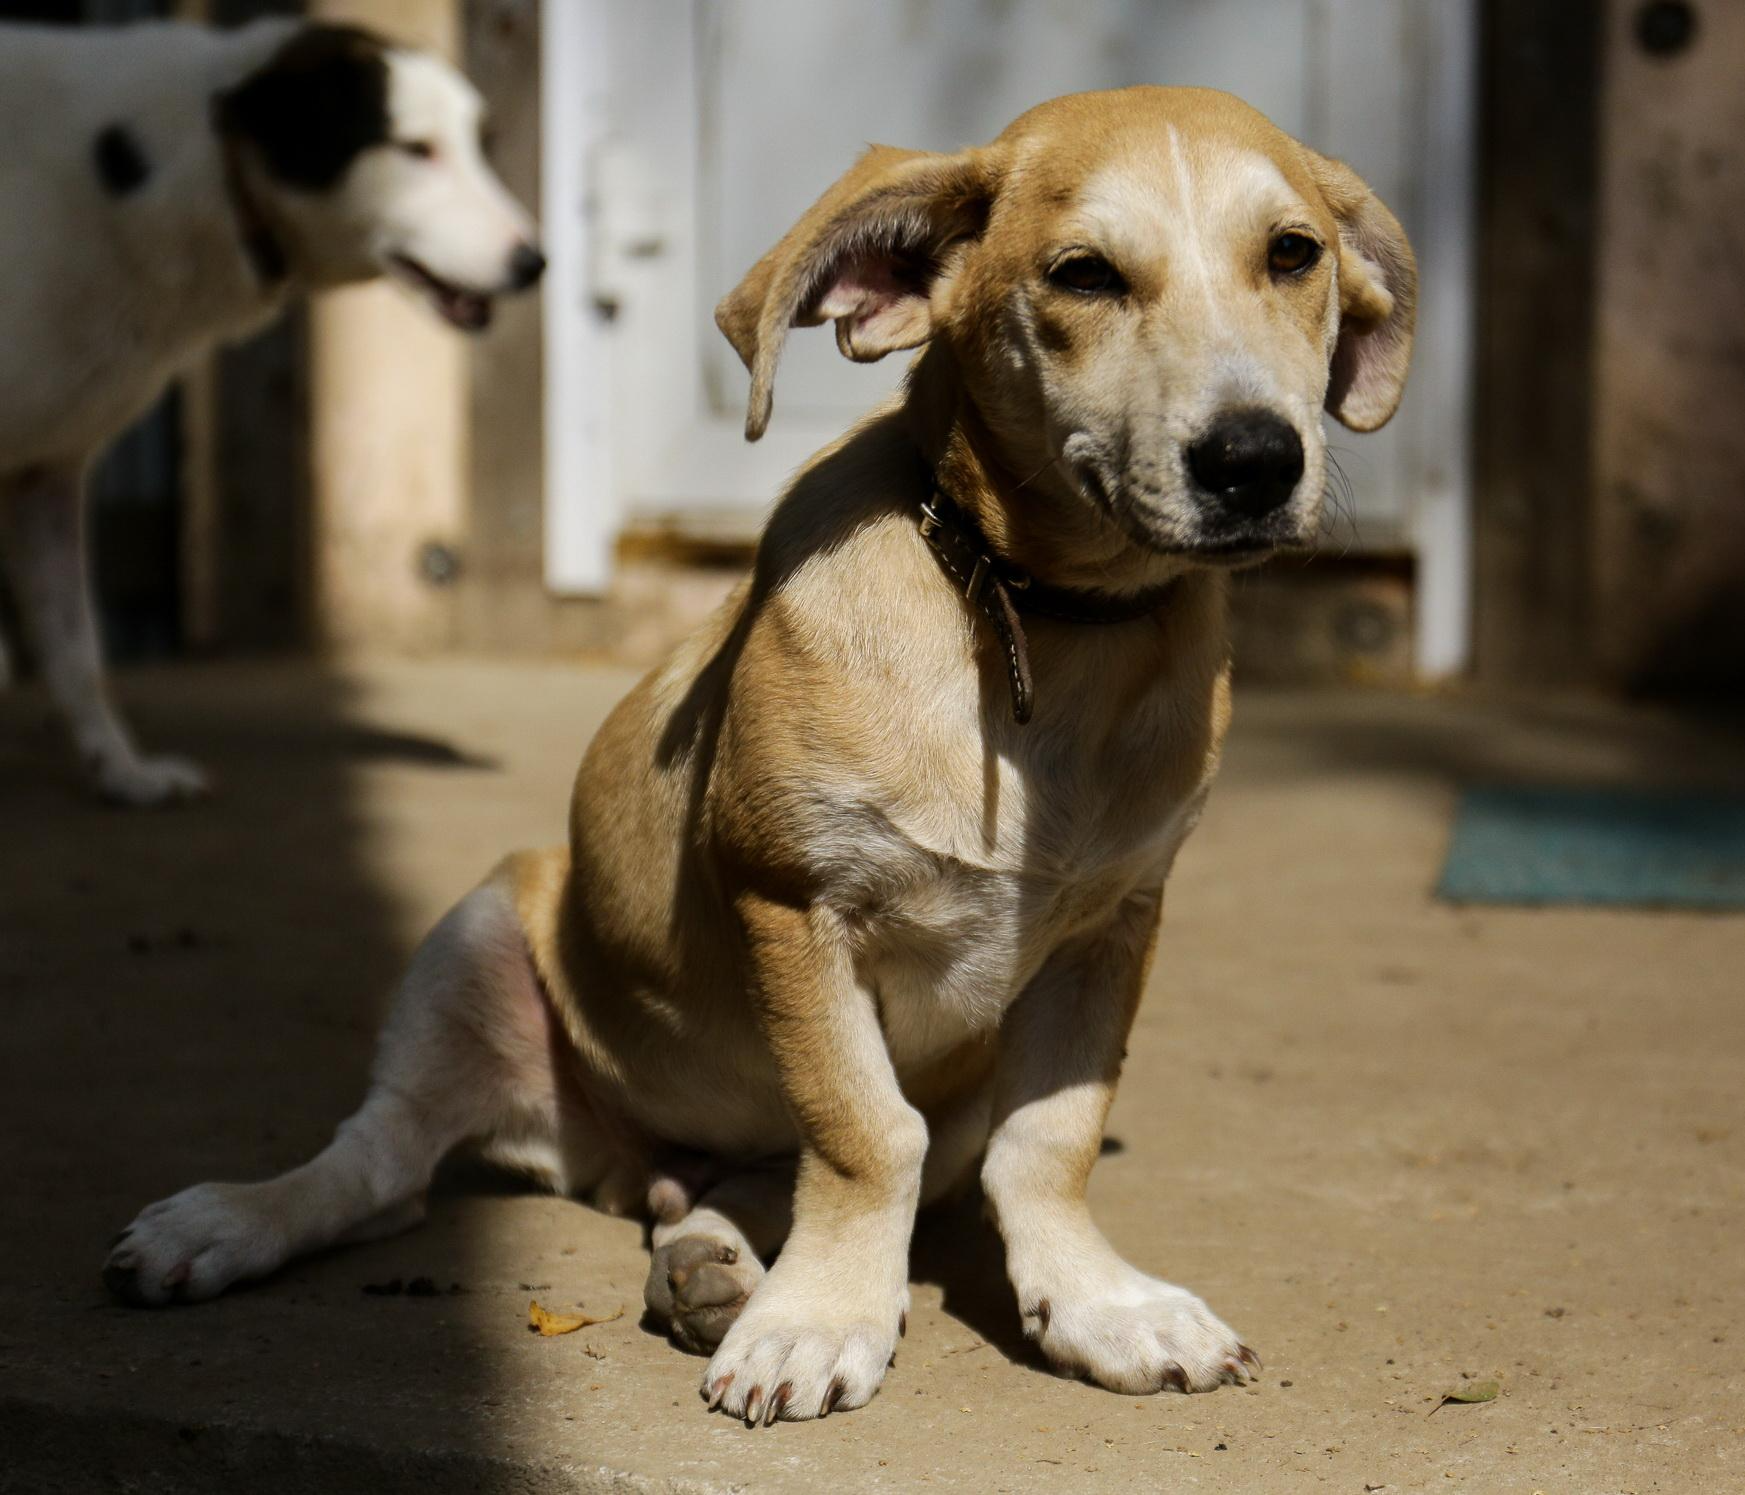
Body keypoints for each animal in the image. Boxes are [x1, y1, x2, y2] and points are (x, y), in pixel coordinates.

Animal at [0, 17, 540, 805]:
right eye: (415, 149)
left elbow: (77, 649)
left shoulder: (46, 471)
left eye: (482, 145)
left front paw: (123, 772)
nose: (536, 263)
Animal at [105, 90, 1416, 1423]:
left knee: (721, 1187)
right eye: (1082, 275)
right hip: (471, 937)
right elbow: (861, 1129)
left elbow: (1044, 1141)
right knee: (380, 1168)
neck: (1033, 622)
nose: (1255, 462)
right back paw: (227, 1223)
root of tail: (619, 1162)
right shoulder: (791, 898)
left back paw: (709, 1261)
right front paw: (826, 1317)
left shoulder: (1113, 926)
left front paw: (1094, 1301)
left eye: (1293, 255)